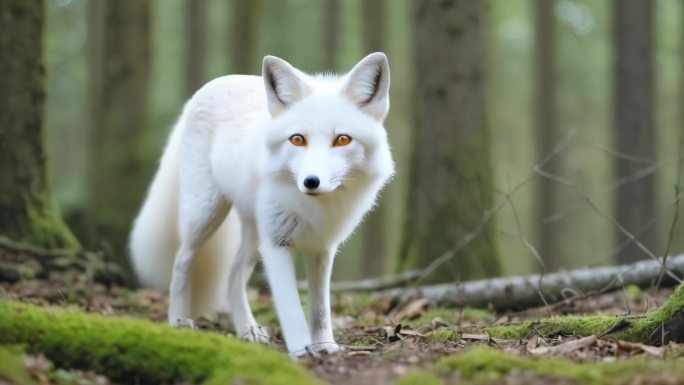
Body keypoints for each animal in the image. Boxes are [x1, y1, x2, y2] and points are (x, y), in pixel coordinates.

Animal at [129, 52, 396, 356]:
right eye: (297, 139)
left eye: (342, 140)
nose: (311, 182)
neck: (314, 210)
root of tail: (204, 90)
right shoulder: (277, 244)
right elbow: (291, 307)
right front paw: (302, 351)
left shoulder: (322, 248)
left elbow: (320, 309)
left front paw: (325, 346)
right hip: (206, 215)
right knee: (181, 261)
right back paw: (178, 321)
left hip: (253, 235)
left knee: (232, 277)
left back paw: (248, 331)